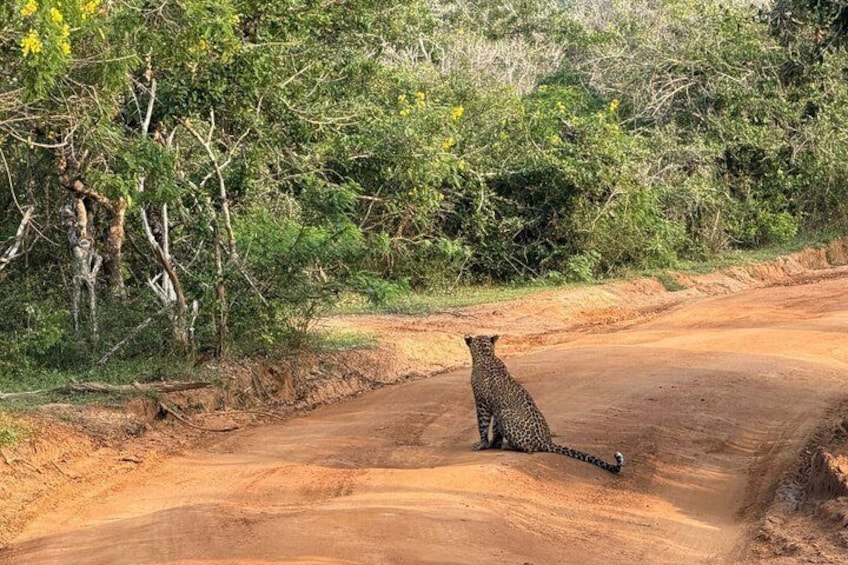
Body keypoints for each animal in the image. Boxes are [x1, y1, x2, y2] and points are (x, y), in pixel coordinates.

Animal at [465, 334, 624, 474]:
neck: (486, 355)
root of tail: (545, 441)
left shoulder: (482, 403)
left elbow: (483, 425)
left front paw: (482, 444)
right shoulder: (496, 406)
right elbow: (496, 428)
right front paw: (494, 444)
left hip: (506, 414)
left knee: (529, 449)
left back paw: (509, 446)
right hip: (504, 412)